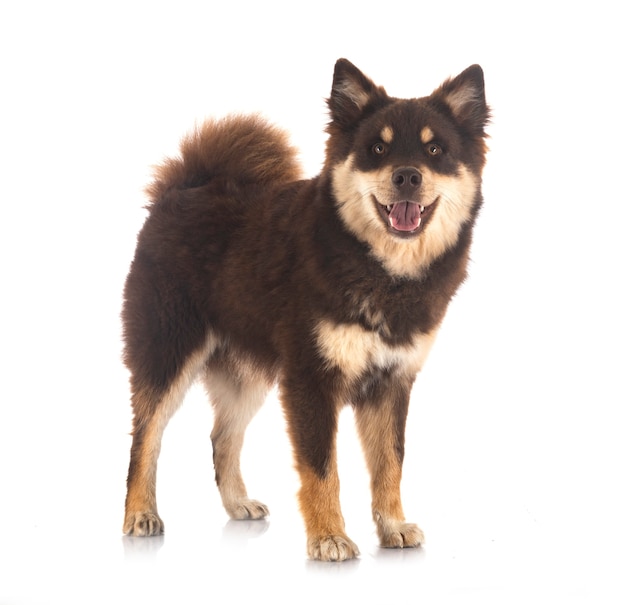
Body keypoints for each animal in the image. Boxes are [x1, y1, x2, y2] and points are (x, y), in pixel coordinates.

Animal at [122, 59, 490, 560]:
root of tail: (185, 185)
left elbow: (389, 463)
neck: (381, 270)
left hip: (248, 372)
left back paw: (237, 503)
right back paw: (140, 513)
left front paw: (392, 526)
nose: (408, 176)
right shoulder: (311, 380)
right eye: (377, 148)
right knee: (146, 437)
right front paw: (329, 536)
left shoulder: (391, 382)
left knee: (221, 437)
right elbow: (321, 469)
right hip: (168, 354)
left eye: (436, 150)